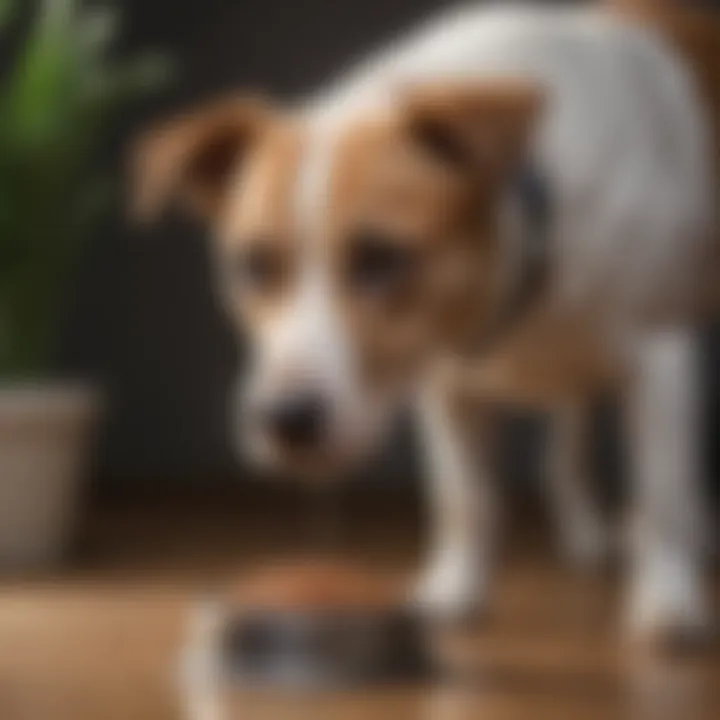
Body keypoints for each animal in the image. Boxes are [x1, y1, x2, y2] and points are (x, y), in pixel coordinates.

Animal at [132, 0, 716, 640]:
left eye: (382, 257)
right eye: (253, 264)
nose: (286, 420)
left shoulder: (661, 360)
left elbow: (661, 495)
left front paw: (668, 598)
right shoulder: (445, 385)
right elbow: (464, 499)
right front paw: (454, 590)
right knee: (567, 436)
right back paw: (585, 529)